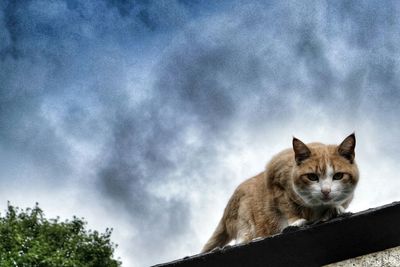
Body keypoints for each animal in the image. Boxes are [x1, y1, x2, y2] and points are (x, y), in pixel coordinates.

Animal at [203, 134, 360, 253]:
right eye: (312, 177)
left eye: (338, 176)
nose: (326, 191)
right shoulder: (276, 179)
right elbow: (287, 206)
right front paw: (296, 220)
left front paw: (335, 208)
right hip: (244, 217)